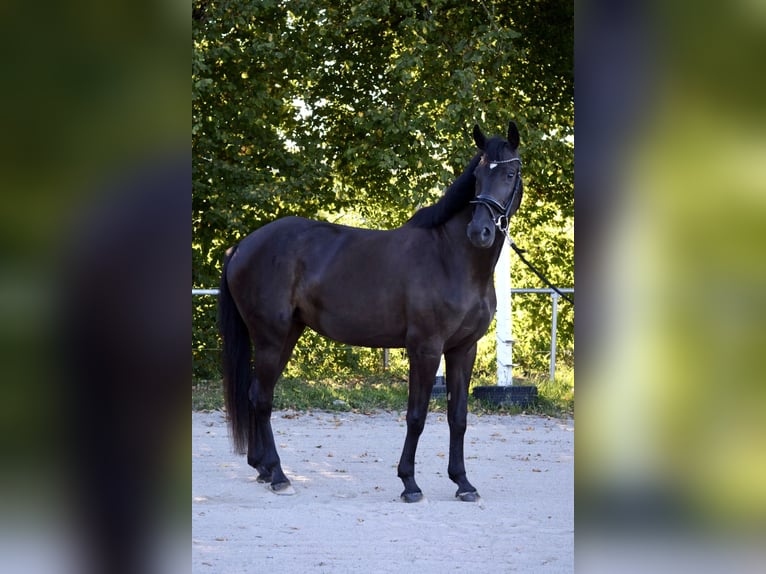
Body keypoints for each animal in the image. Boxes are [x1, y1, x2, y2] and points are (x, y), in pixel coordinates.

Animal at [218, 122, 523, 502]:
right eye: (478, 176)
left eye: (509, 173)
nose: (479, 231)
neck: (453, 259)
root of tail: (242, 246)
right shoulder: (425, 349)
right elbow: (417, 415)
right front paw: (409, 483)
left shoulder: (463, 349)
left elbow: (459, 417)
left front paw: (463, 483)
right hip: (270, 338)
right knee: (262, 398)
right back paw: (278, 475)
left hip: (287, 334)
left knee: (255, 393)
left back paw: (262, 468)